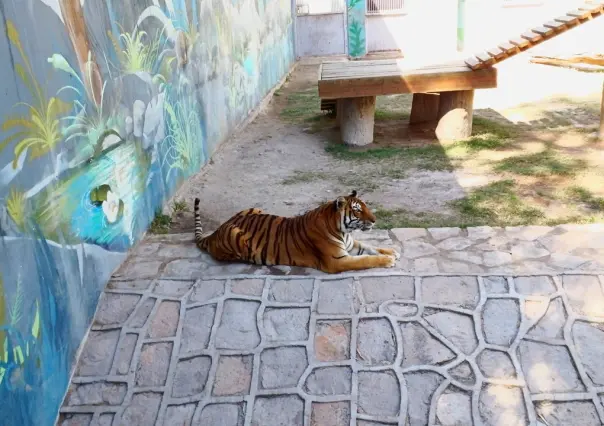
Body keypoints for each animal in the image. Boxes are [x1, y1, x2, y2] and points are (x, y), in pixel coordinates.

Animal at [195, 190, 402, 272]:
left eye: (365, 206)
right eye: (358, 210)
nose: (375, 220)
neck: (343, 231)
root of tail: (216, 231)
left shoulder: (351, 244)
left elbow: (371, 247)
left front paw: (392, 251)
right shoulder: (337, 261)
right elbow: (366, 259)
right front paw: (388, 260)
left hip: (254, 208)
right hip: (235, 237)